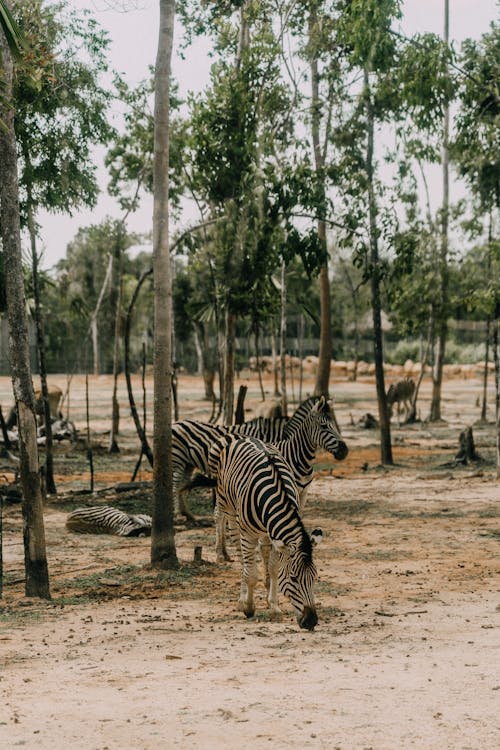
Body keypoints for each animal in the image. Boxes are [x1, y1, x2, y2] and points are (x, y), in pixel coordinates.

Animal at [189, 432, 322, 632]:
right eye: (293, 579)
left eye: (314, 577)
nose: (311, 621)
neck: (275, 496)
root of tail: (241, 436)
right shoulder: (248, 534)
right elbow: (251, 573)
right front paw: (249, 608)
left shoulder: (276, 535)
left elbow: (274, 568)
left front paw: (273, 605)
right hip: (228, 507)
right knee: (238, 550)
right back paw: (241, 598)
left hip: (264, 532)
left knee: (263, 551)